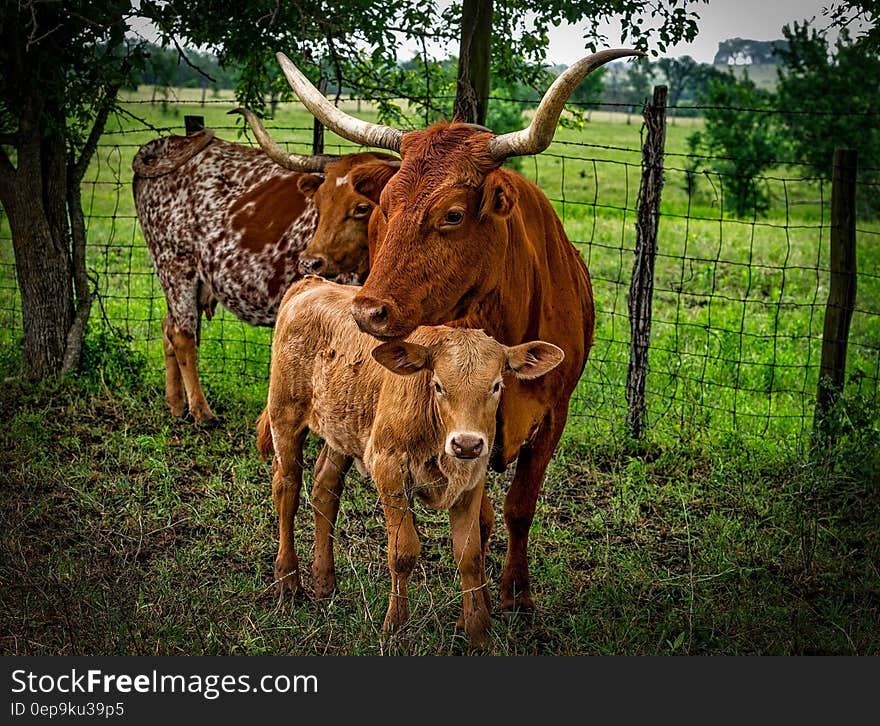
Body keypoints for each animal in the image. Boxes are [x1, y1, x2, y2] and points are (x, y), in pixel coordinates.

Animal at [131, 111, 398, 426]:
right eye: (318, 204)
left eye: (362, 207)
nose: (309, 262)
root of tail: (165, 144)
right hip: (174, 263)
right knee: (182, 334)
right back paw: (201, 410)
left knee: (167, 326)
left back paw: (175, 404)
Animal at [258, 276, 560, 644]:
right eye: (439, 385)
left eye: (496, 386)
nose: (467, 443)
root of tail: (311, 283)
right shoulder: (389, 468)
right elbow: (403, 552)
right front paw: (396, 626)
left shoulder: (472, 478)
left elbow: (470, 555)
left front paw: (479, 633)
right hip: (285, 416)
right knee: (287, 490)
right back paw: (288, 581)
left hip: (342, 429)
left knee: (324, 490)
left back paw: (325, 583)